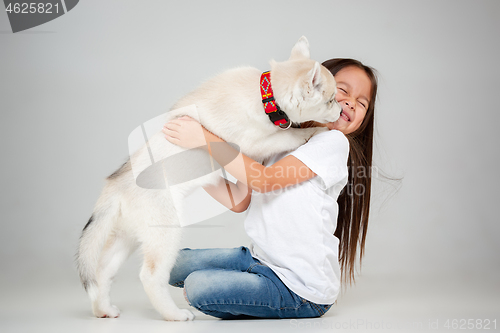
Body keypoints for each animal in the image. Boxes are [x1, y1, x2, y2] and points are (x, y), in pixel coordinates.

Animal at [76, 36, 342, 320]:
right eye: (331, 100)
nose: (341, 112)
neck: (263, 98)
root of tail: (117, 184)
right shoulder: (251, 143)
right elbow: (287, 136)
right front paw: (315, 131)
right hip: (165, 233)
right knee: (149, 276)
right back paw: (174, 315)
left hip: (126, 237)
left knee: (102, 271)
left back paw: (104, 310)